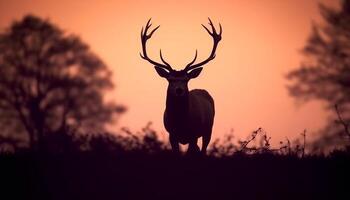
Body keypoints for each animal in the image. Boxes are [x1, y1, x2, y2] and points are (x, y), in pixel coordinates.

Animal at [139, 18, 221, 155]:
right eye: (170, 79)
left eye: (186, 80)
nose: (179, 90)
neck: (181, 122)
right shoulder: (171, 134)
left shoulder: (193, 134)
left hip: (208, 129)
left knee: (203, 150)